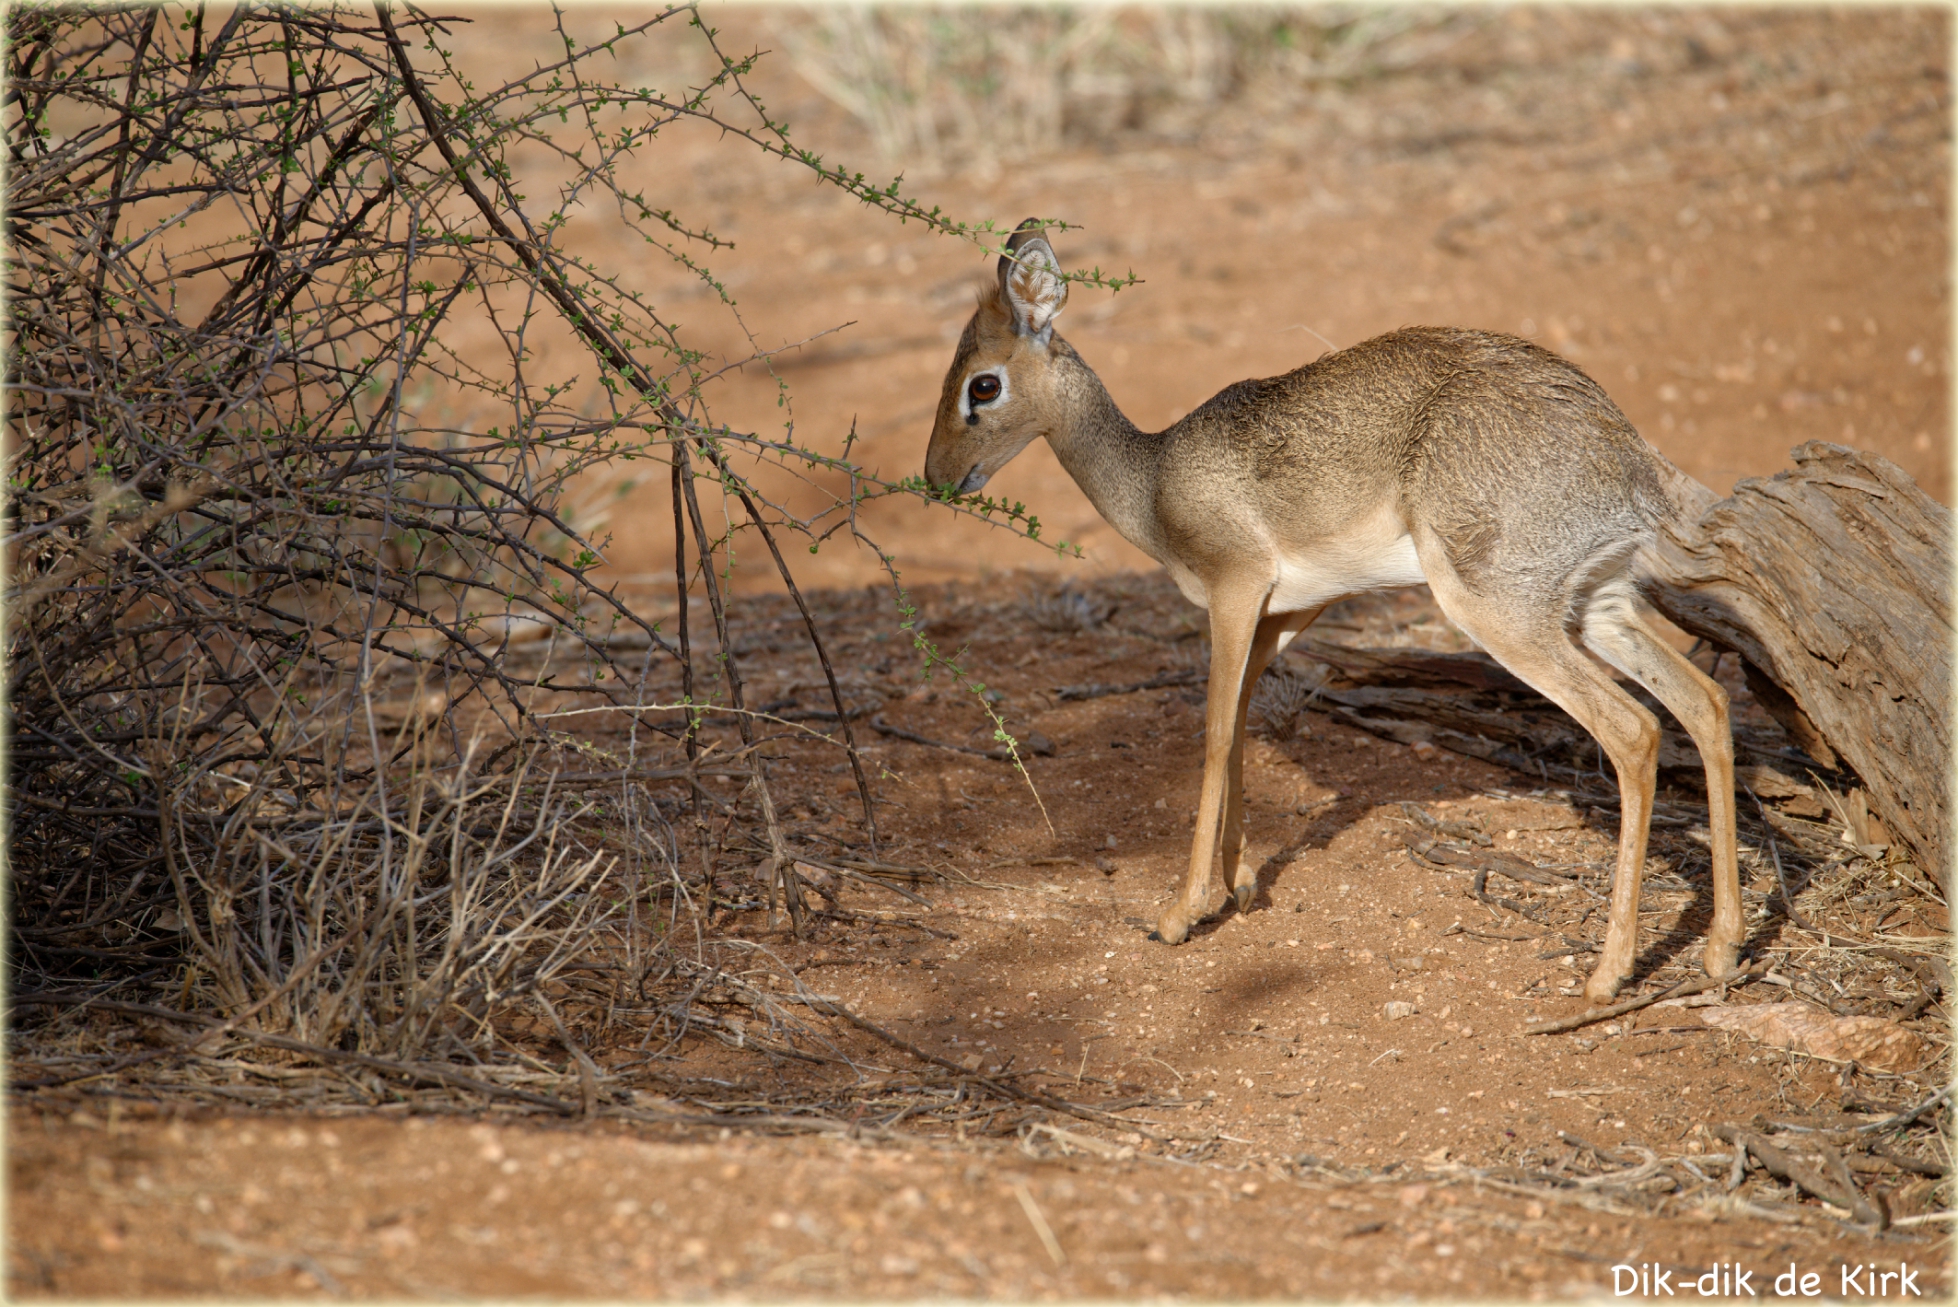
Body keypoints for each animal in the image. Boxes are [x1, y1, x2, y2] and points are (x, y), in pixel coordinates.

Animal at [922, 219, 1744, 1005]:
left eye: (982, 385)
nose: (934, 479)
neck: (1151, 481)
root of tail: (1626, 456)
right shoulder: (1287, 615)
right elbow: (1243, 726)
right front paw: (1238, 883)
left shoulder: (1235, 592)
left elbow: (1214, 733)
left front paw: (1182, 910)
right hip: (1595, 606)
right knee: (1703, 700)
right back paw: (1721, 948)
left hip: (1502, 614)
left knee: (1635, 731)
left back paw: (1608, 974)